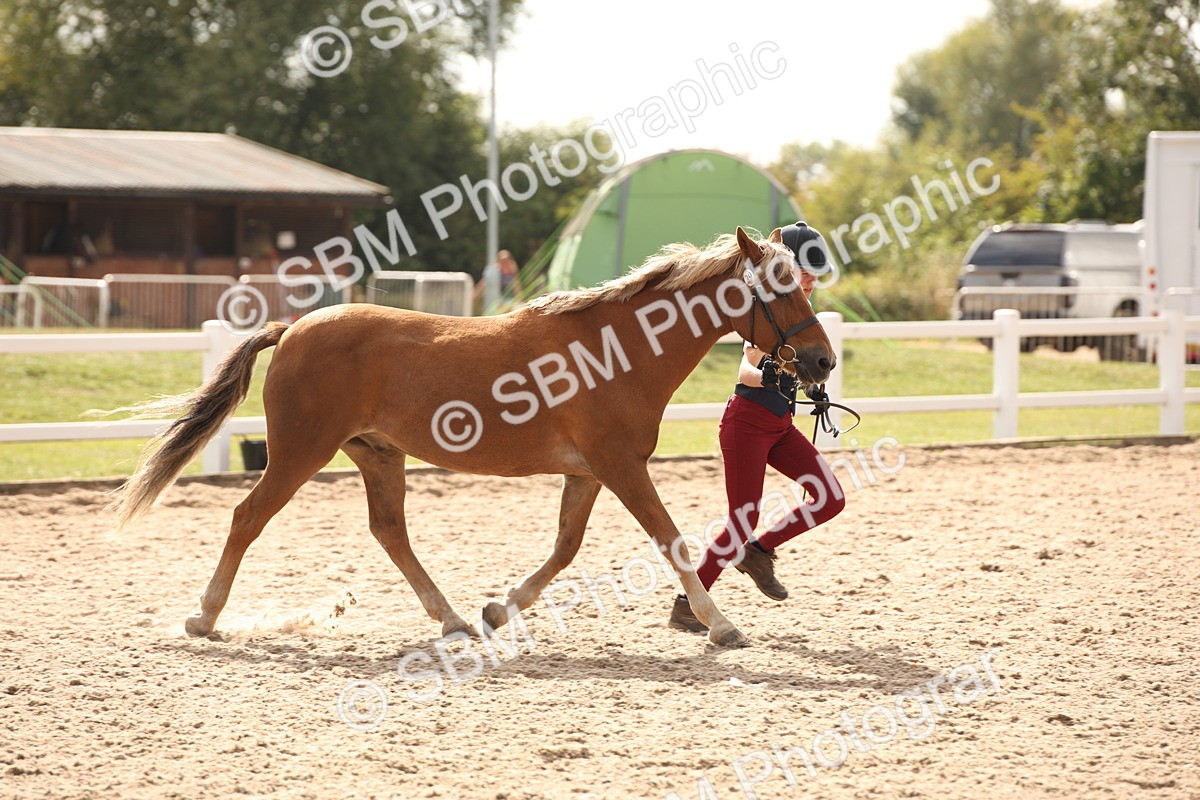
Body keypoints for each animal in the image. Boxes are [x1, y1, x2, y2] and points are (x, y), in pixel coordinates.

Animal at [111, 226, 835, 647]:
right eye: (780, 287)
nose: (823, 361)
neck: (617, 349)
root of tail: (291, 329)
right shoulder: (621, 467)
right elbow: (671, 541)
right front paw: (723, 626)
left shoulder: (589, 472)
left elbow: (565, 549)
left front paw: (499, 609)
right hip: (299, 453)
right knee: (247, 517)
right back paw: (205, 617)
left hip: (377, 455)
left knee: (389, 532)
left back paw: (455, 619)